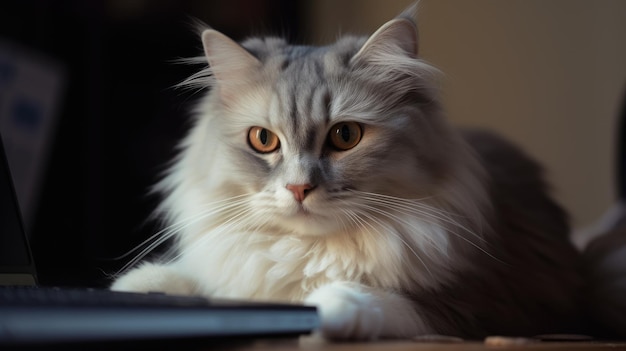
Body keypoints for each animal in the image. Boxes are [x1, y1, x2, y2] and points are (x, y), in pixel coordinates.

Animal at [109, 6, 584, 340]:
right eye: (263, 140)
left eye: (345, 136)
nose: (299, 187)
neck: (312, 250)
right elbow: (203, 281)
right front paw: (136, 287)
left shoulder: (488, 304)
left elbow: (369, 298)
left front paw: (330, 306)